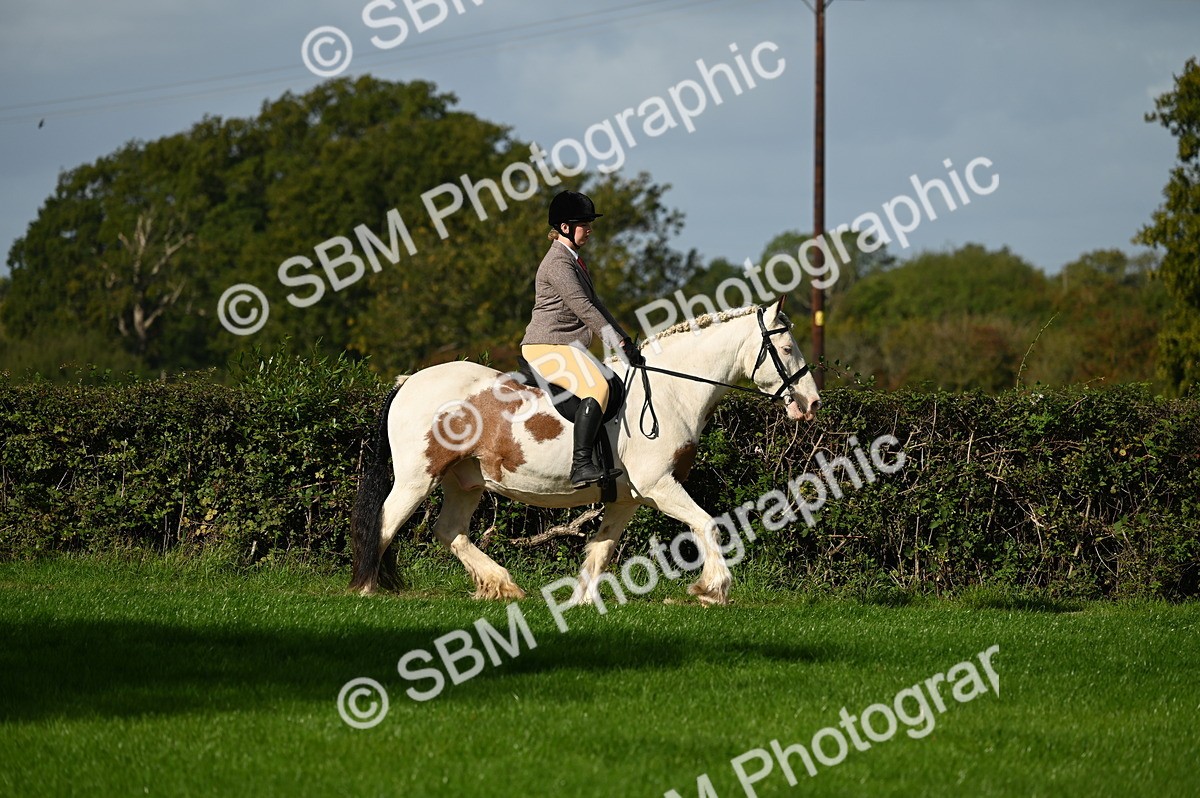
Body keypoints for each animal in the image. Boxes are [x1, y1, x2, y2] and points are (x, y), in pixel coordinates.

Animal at [349, 297, 821, 606]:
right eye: (785, 348)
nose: (812, 403)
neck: (672, 389)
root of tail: (408, 381)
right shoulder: (660, 485)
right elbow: (708, 525)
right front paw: (712, 589)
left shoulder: (630, 497)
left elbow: (601, 548)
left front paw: (582, 602)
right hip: (418, 477)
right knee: (386, 521)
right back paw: (368, 587)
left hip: (465, 481)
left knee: (449, 530)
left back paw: (502, 585)